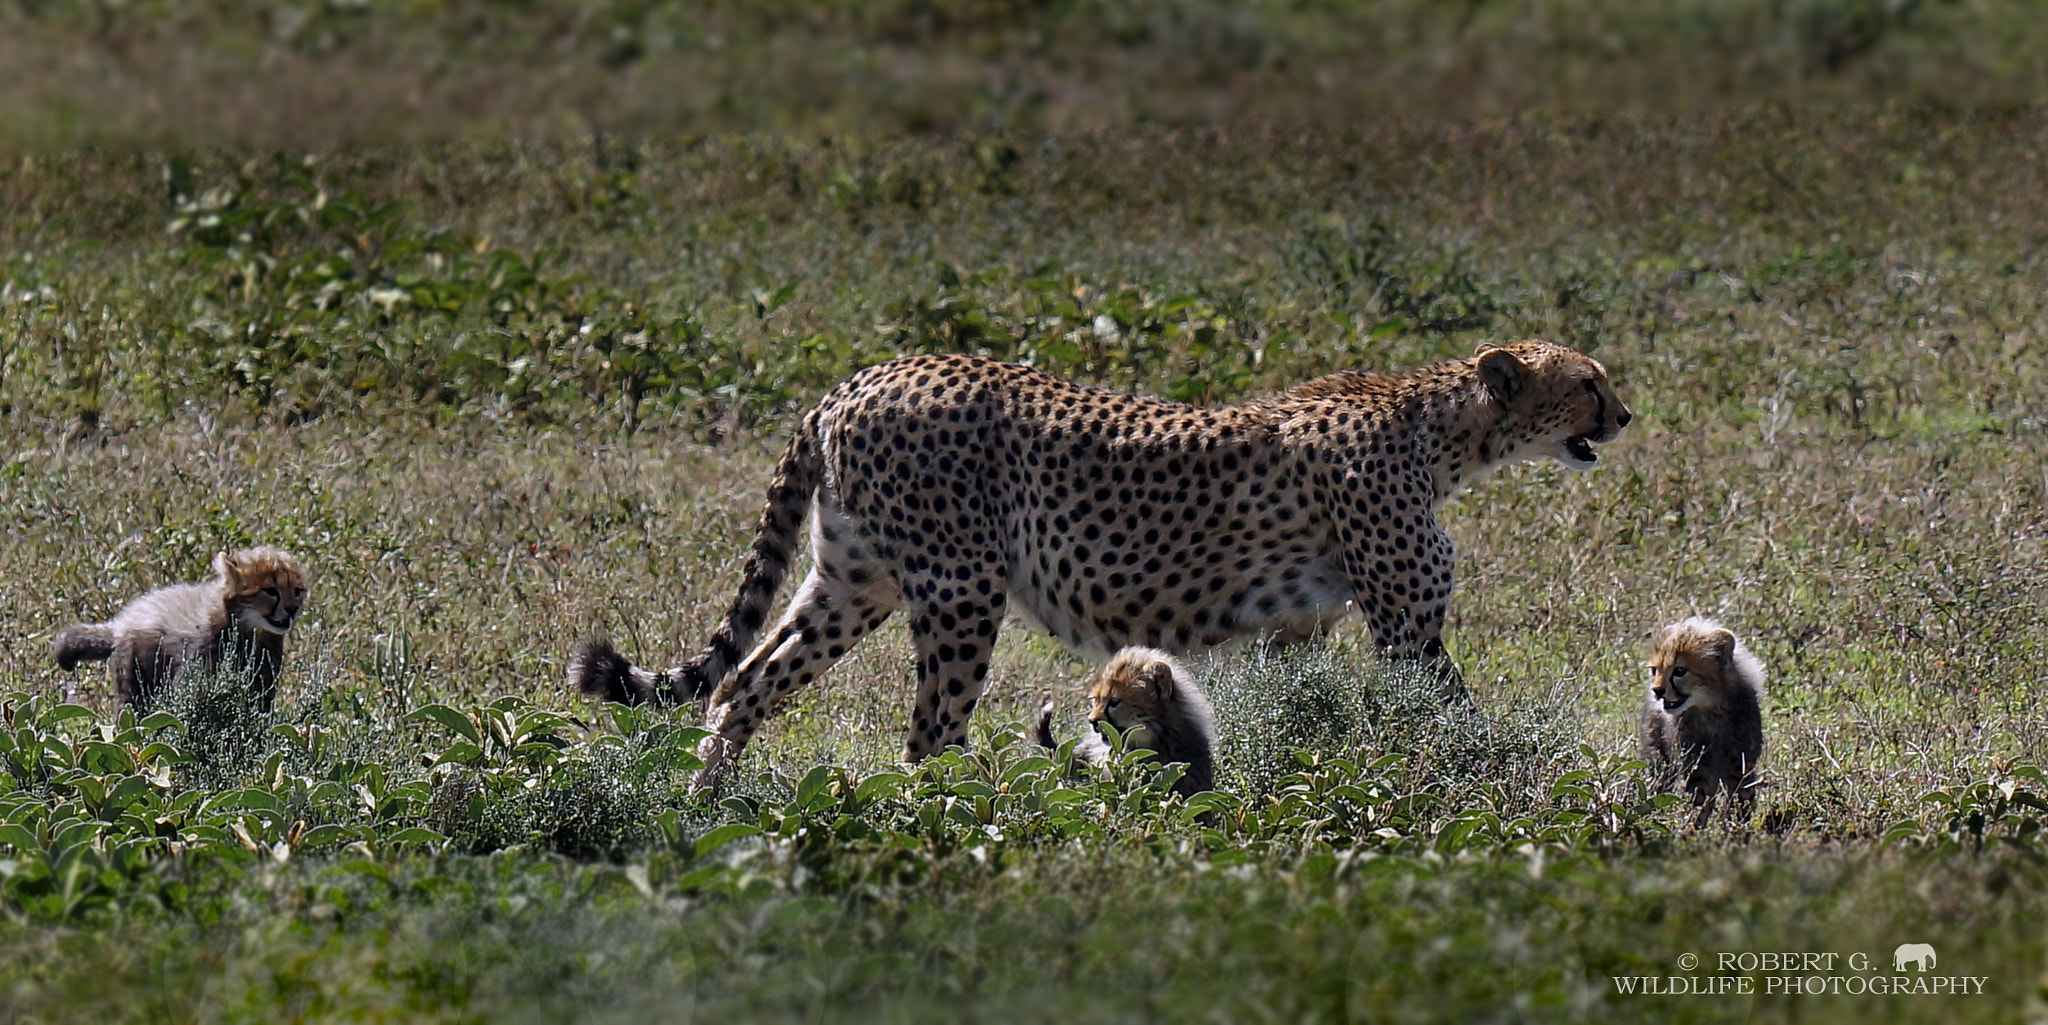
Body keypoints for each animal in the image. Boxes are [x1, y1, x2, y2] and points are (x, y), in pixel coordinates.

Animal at [569, 340, 1622, 779]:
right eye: (1588, 381)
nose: (1624, 414)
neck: (1447, 430)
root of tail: (861, 375)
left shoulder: (1298, 628)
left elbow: (1301, 715)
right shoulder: (1407, 630)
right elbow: (1455, 720)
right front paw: (1495, 779)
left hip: (853, 579)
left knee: (740, 682)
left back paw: (708, 808)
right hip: (961, 586)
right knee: (929, 733)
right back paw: (986, 812)